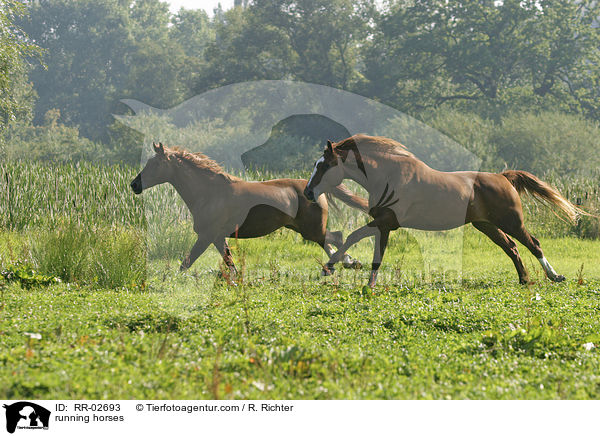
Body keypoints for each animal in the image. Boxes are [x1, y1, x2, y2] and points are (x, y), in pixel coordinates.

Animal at [129, 143, 368, 276]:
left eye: (154, 164)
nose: (134, 185)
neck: (209, 192)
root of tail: (314, 188)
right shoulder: (217, 237)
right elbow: (230, 263)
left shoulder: (207, 236)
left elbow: (186, 263)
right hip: (307, 229)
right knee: (331, 240)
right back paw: (343, 264)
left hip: (311, 229)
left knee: (336, 237)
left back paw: (345, 263)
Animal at [304, 135, 584, 288]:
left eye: (324, 165)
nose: (307, 193)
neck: (388, 175)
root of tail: (504, 177)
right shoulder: (383, 224)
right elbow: (374, 254)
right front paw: (357, 278)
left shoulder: (386, 222)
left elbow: (357, 240)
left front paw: (331, 268)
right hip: (486, 225)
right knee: (512, 247)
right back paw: (525, 280)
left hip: (510, 221)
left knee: (532, 243)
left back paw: (554, 276)